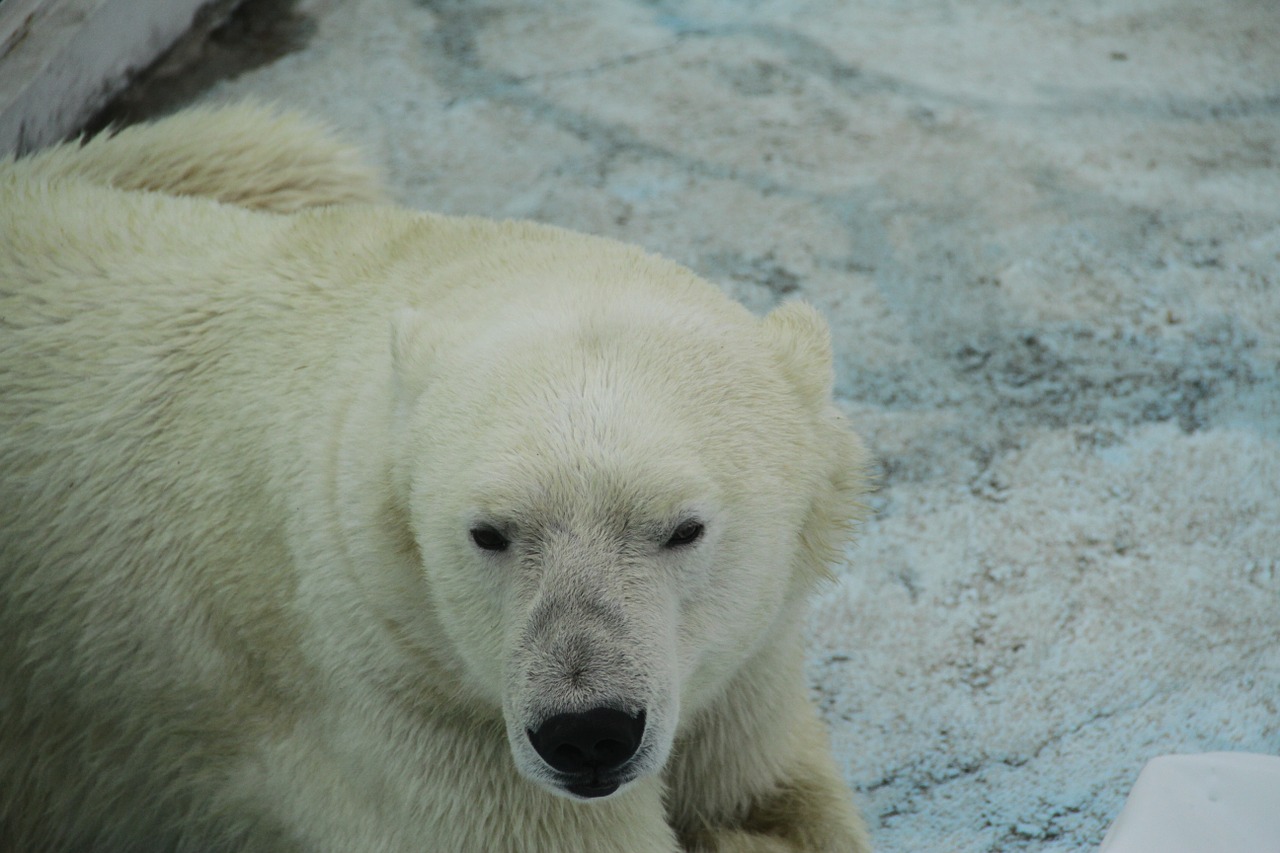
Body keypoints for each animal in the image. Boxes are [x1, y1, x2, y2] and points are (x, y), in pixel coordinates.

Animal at [0, 103, 870, 845]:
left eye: (684, 528)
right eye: (489, 532)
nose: (587, 731)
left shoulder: (744, 662)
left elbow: (764, 795)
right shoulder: (407, 709)